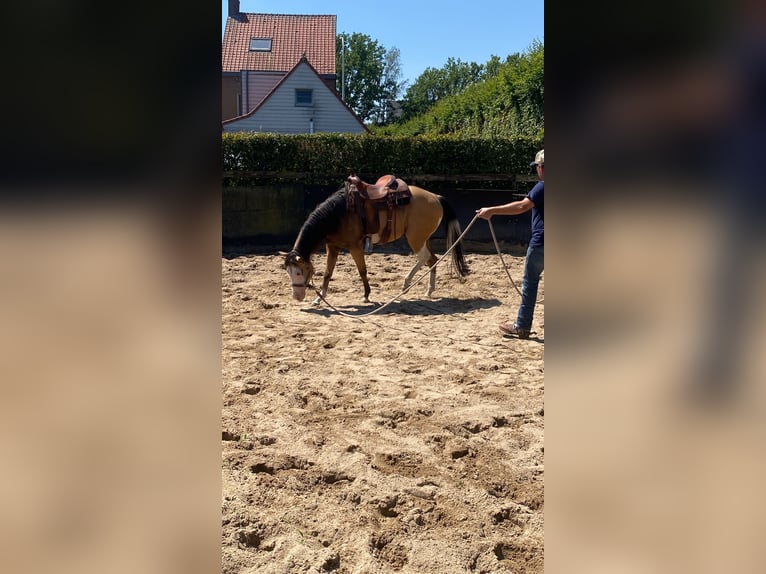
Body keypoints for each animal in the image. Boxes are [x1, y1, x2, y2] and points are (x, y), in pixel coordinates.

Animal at [284, 176, 472, 306]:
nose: (297, 297)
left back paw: (406, 283)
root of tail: (436, 197)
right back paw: (429, 290)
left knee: (424, 258)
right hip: (422, 238)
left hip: (416, 238)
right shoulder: (332, 247)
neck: (339, 213)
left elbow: (362, 271)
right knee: (432, 259)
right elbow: (328, 273)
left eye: (299, 272)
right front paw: (319, 299)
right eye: (288, 272)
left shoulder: (354, 247)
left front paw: (366, 295)